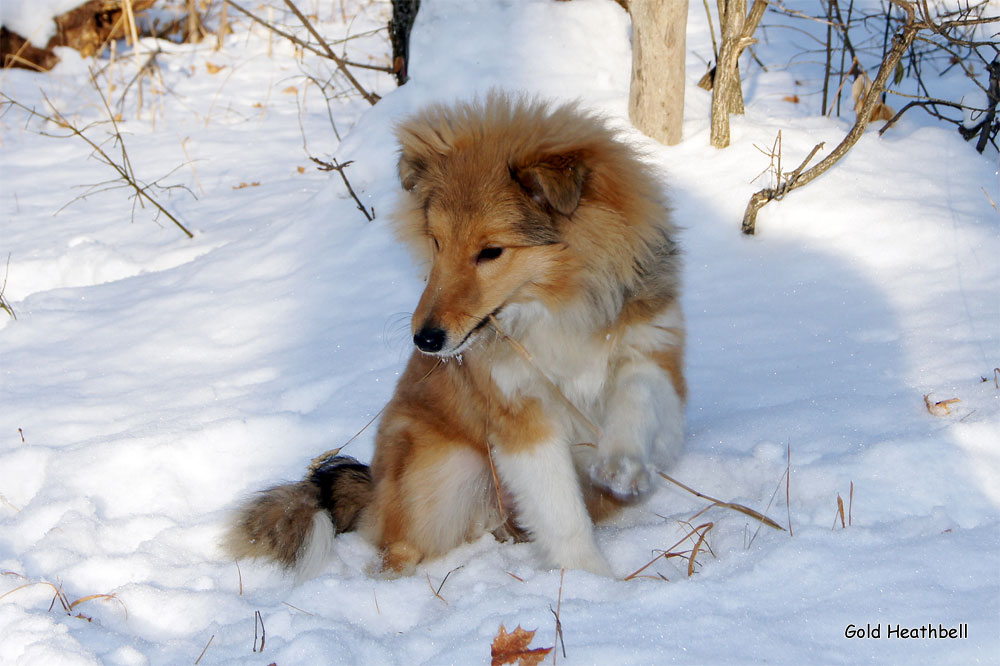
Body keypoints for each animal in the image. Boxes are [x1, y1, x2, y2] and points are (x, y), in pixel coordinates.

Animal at [223, 93, 684, 576]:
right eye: (437, 241)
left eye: (491, 252)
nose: (425, 341)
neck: (554, 308)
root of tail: (374, 487)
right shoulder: (518, 414)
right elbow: (559, 509)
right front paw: (588, 578)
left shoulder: (655, 347)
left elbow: (638, 391)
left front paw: (624, 463)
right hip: (443, 468)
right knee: (399, 547)